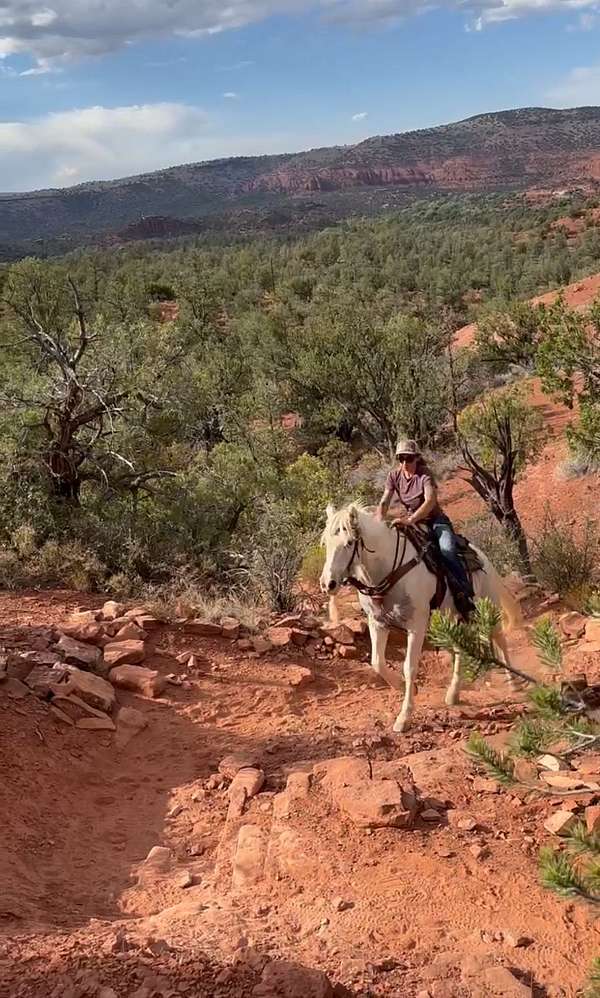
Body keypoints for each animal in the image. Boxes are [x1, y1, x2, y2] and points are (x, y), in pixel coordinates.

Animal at [322, 504, 524, 732]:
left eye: (349, 543)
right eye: (325, 543)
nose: (327, 583)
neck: (388, 570)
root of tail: (483, 557)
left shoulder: (416, 625)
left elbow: (409, 667)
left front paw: (404, 717)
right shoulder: (378, 623)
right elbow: (377, 662)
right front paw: (404, 687)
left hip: (487, 607)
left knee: (500, 639)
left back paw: (514, 682)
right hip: (449, 620)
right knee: (459, 649)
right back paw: (453, 693)